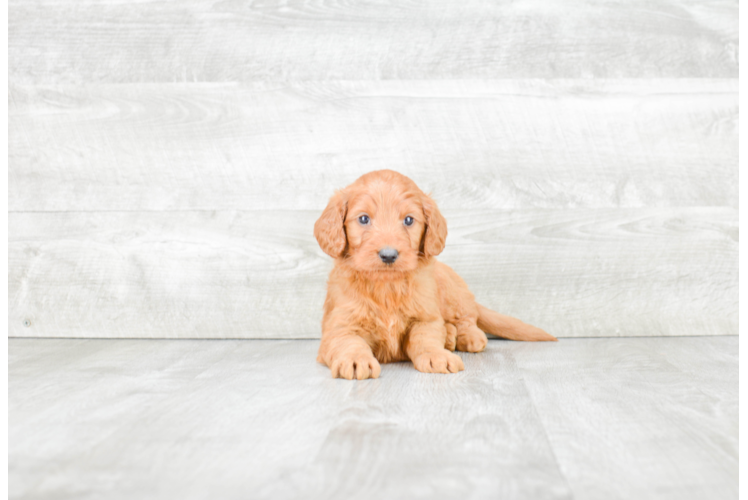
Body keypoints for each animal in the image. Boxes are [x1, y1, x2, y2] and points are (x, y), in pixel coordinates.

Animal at [312, 170, 556, 380]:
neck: (387, 286)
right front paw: (355, 360)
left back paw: (468, 337)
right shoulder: (339, 326)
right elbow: (348, 342)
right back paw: (449, 336)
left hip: (452, 290)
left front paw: (436, 355)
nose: (389, 255)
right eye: (363, 219)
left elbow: (425, 337)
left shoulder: (426, 316)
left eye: (408, 220)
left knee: (467, 317)